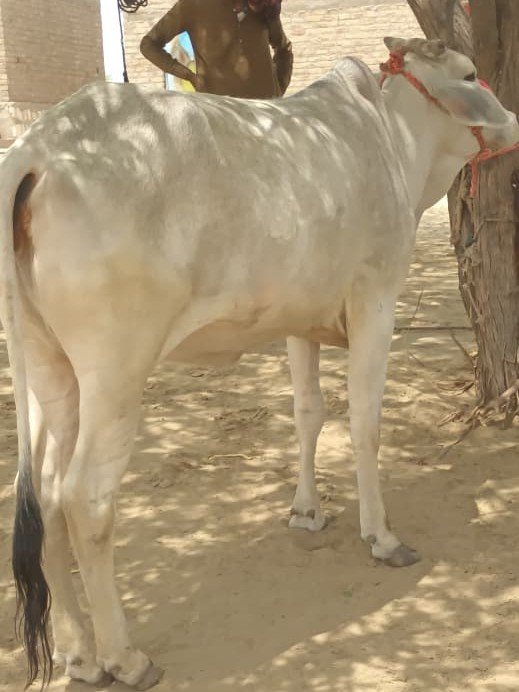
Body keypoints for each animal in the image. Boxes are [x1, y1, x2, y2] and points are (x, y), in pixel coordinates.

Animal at [0, 36, 517, 689]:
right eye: (470, 75)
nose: (512, 122)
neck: (389, 136)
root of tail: (39, 149)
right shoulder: (375, 301)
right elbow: (364, 423)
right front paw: (381, 536)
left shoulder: (300, 323)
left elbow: (309, 414)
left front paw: (306, 512)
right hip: (114, 374)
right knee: (84, 499)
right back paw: (124, 657)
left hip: (49, 368)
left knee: (42, 498)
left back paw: (80, 654)